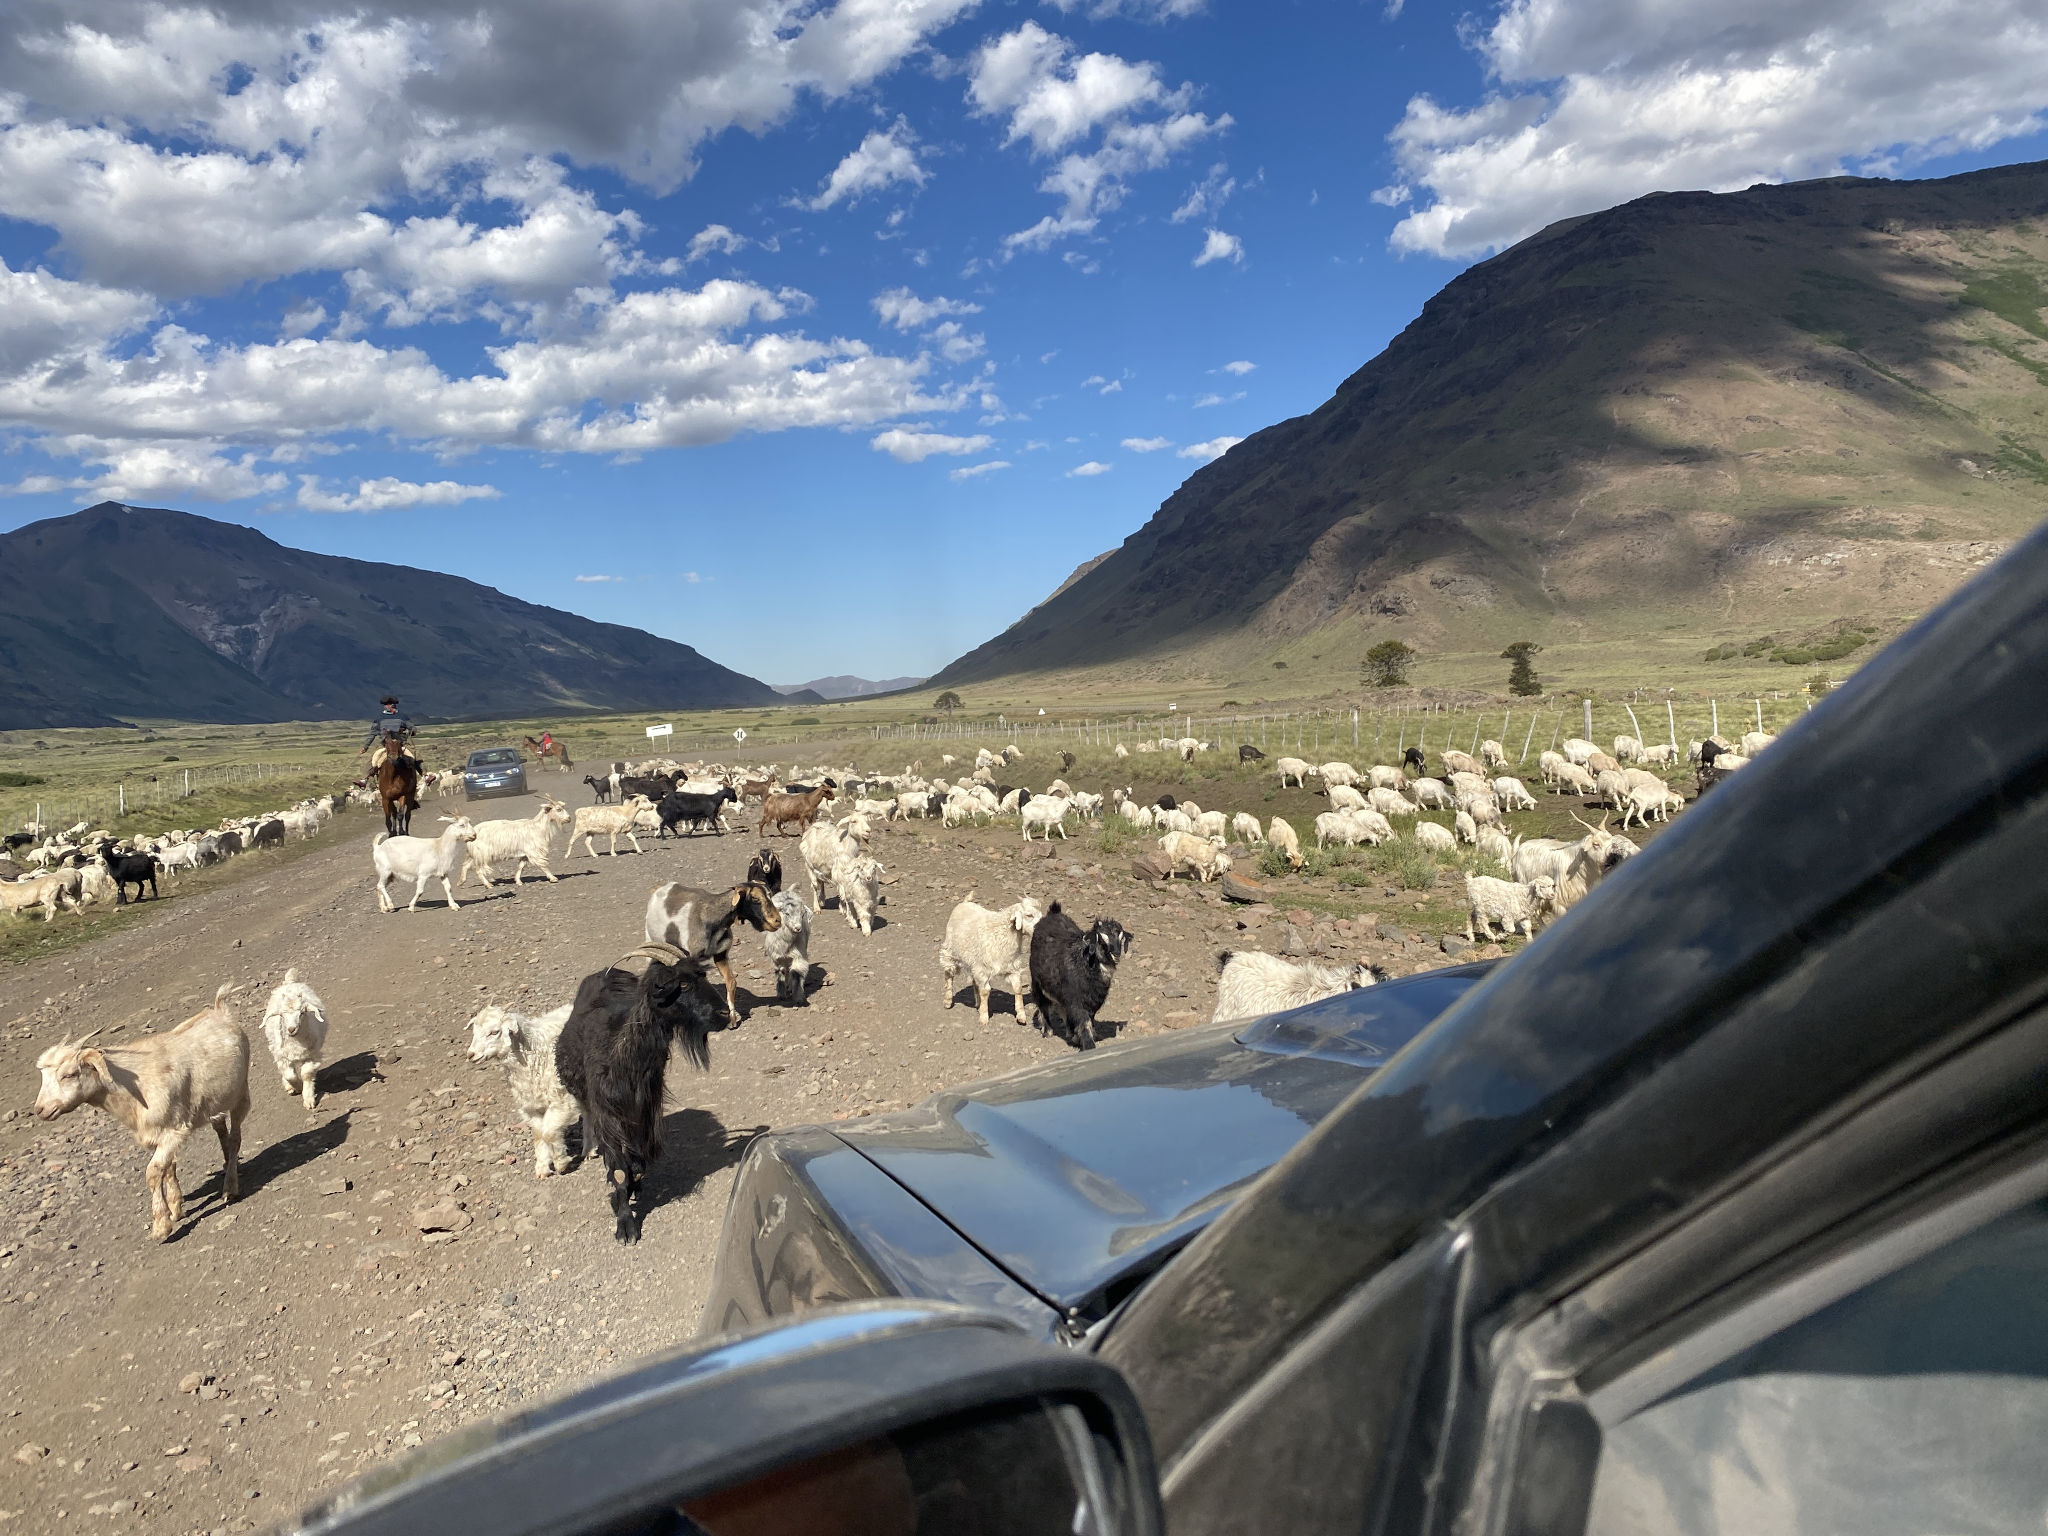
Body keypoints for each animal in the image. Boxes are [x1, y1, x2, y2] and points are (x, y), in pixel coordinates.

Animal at [552, 946, 729, 1245]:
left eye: (702, 975)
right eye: (681, 984)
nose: (725, 1013)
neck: (623, 1050)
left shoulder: (644, 1109)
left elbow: (636, 1164)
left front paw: (635, 1185)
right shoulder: (607, 1114)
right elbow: (620, 1169)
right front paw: (626, 1225)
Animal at [1024, 901, 1138, 1056]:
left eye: (1121, 939)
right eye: (1101, 941)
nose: (1116, 954)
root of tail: (1053, 912)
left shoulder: (1092, 1001)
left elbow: (1090, 1019)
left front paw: (1087, 1037)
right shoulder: (1077, 1001)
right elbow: (1084, 1022)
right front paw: (1088, 1045)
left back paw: (1070, 1032)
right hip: (1037, 982)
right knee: (1043, 1004)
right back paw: (1047, 1030)